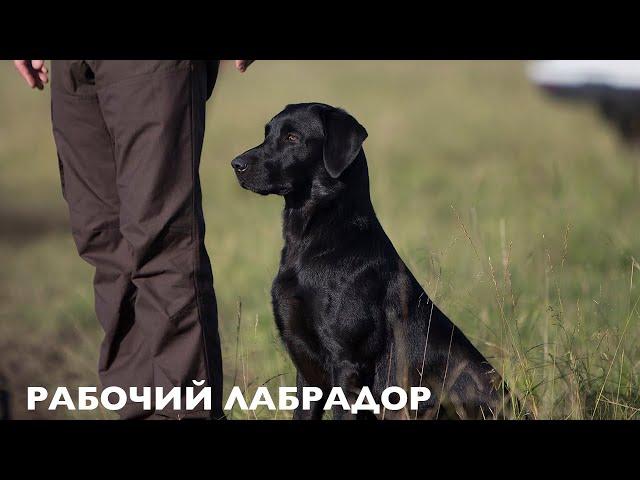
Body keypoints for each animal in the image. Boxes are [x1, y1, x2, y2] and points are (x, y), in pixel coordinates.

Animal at [232, 103, 512, 418]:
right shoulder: (307, 368)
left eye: (292, 137)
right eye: (267, 133)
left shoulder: (346, 362)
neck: (313, 241)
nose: (236, 164)